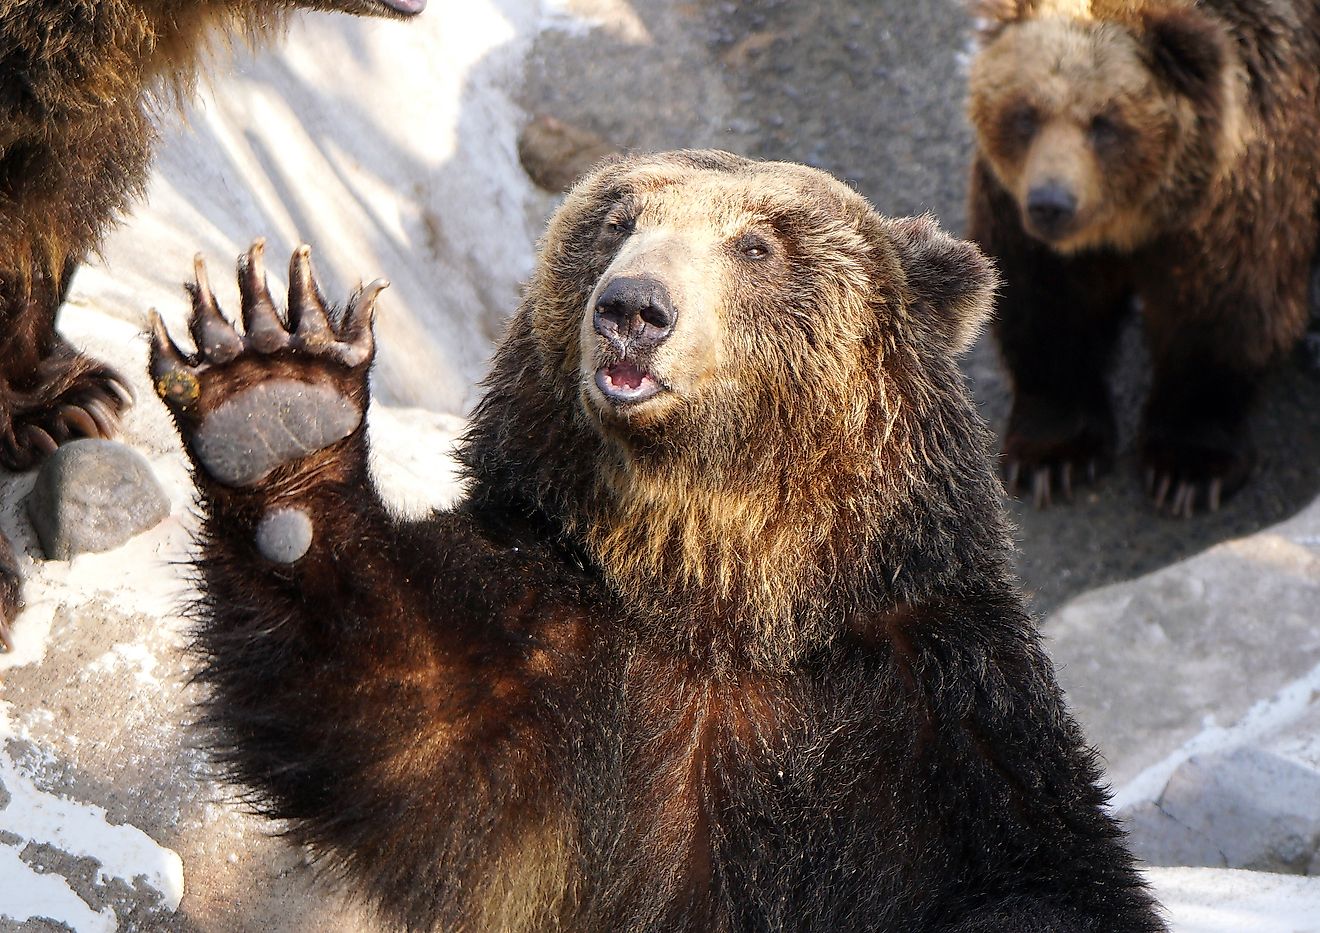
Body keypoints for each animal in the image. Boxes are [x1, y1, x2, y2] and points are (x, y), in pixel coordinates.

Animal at [147, 153, 1166, 933]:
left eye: (757, 243)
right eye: (616, 221)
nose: (632, 307)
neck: (724, 594)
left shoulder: (941, 713)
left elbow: (1040, 873)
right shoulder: (551, 656)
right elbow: (391, 700)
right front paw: (274, 400)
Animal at [960, 0, 1320, 517]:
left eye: (1104, 123)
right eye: (1025, 114)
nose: (1051, 203)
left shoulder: (1240, 202)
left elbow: (1222, 312)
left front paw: (1187, 469)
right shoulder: (1020, 217)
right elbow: (1047, 307)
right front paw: (1052, 457)